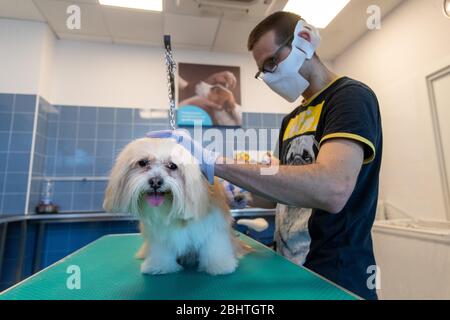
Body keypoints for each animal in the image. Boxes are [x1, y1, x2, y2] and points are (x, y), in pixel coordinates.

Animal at [103, 138, 248, 276]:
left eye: (172, 165)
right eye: (143, 162)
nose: (155, 181)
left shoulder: (213, 227)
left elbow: (215, 247)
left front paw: (220, 266)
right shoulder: (160, 235)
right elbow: (161, 251)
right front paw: (159, 266)